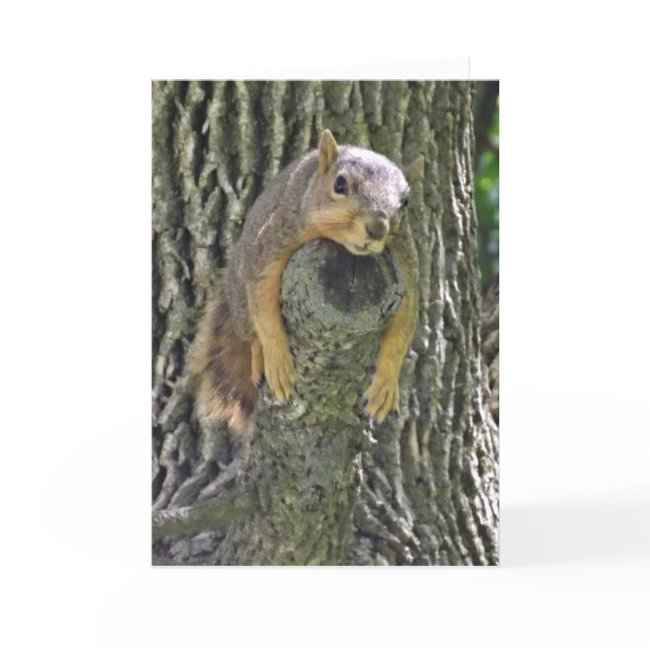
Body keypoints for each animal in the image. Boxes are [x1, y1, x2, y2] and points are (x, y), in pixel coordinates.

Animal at [190, 129, 423, 432]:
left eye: (405, 202)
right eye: (340, 184)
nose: (377, 228)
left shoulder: (406, 268)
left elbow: (402, 332)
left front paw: (385, 385)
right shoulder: (274, 241)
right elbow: (264, 307)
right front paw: (277, 359)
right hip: (240, 301)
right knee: (250, 331)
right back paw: (258, 355)